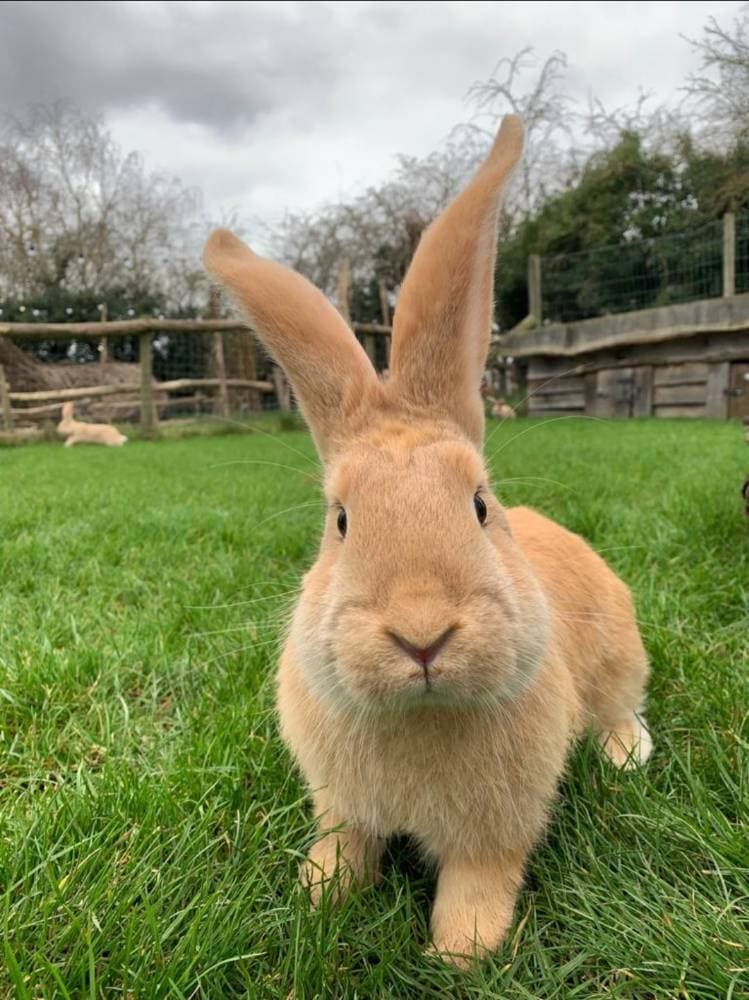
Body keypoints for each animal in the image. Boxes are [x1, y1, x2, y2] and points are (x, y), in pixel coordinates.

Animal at [203, 114, 651, 967]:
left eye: (478, 504)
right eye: (340, 521)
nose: (421, 634)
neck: (421, 715)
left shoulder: (494, 831)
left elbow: (476, 886)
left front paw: (459, 954)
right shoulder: (342, 806)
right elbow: (344, 853)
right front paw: (316, 899)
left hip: (617, 657)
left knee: (620, 707)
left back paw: (627, 756)